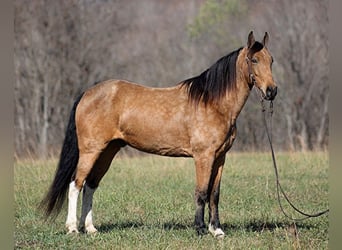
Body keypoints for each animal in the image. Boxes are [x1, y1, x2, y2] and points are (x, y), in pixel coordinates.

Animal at [40, 31, 276, 238]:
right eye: (254, 60)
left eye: (271, 60)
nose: (272, 91)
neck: (213, 103)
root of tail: (87, 94)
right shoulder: (203, 157)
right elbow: (201, 192)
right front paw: (200, 229)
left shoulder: (220, 158)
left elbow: (214, 194)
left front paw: (216, 230)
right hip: (91, 151)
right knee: (76, 184)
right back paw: (73, 228)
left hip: (107, 151)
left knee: (90, 186)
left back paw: (90, 228)